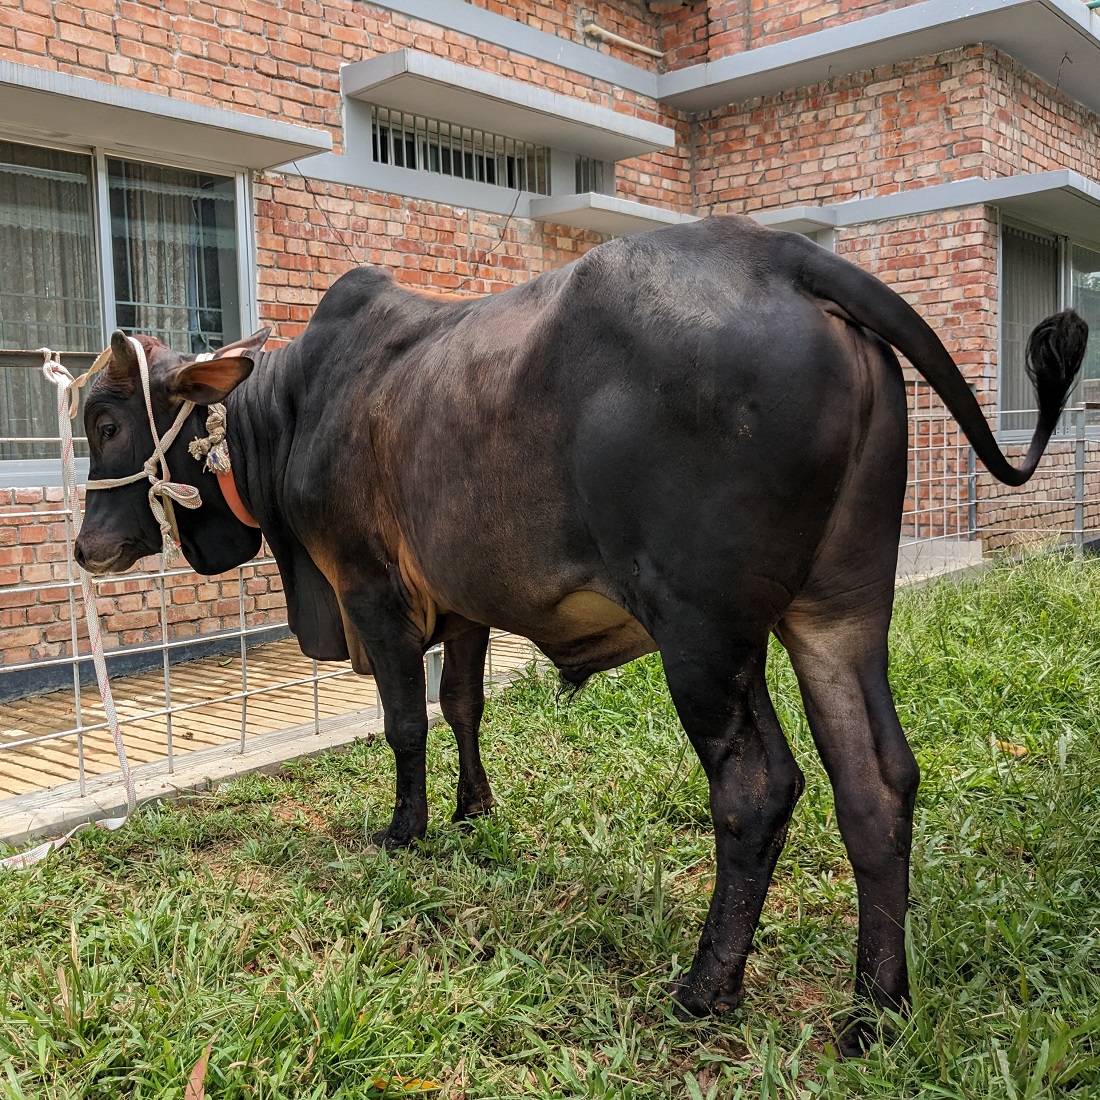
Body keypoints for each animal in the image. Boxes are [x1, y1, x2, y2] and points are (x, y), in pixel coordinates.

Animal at [73, 214, 1086, 1047]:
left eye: (110, 420)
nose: (89, 546)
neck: (286, 415)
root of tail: (789, 257)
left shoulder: (372, 594)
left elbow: (403, 724)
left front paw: (405, 831)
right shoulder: (463, 605)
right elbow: (461, 706)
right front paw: (474, 812)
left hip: (705, 631)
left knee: (758, 787)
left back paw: (706, 986)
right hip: (841, 609)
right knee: (876, 782)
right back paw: (875, 1009)